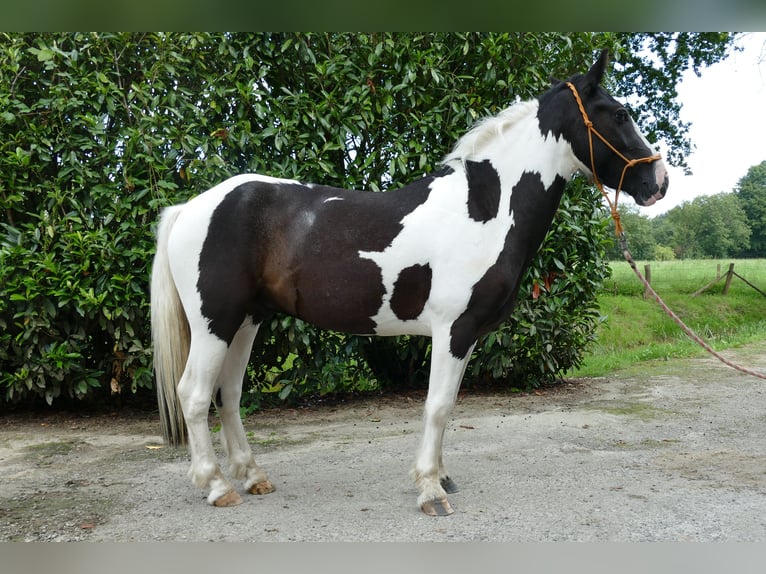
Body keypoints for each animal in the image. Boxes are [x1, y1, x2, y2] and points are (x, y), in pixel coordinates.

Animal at [153, 50, 668, 516]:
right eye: (619, 114)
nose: (658, 181)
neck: (484, 207)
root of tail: (190, 208)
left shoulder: (466, 336)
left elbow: (449, 405)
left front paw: (440, 476)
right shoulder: (453, 331)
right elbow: (437, 406)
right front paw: (430, 491)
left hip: (247, 320)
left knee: (229, 394)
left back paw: (253, 476)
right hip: (215, 322)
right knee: (193, 395)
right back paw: (217, 486)